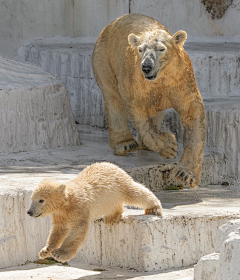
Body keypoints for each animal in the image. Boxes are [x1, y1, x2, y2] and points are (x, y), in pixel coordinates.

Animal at [27, 162, 162, 262]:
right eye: (32, 198)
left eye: (41, 200)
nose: (29, 212)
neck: (68, 202)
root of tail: (111, 164)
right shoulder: (60, 214)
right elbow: (58, 230)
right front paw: (45, 251)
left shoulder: (79, 208)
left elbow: (78, 230)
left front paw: (60, 253)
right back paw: (111, 218)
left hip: (120, 184)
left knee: (136, 193)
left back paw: (154, 208)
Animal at [92, 13, 206, 188]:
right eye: (140, 49)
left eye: (161, 48)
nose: (146, 67)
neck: (160, 77)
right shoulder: (135, 81)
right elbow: (138, 111)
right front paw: (169, 145)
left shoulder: (180, 77)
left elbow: (191, 110)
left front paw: (185, 175)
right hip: (104, 58)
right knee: (113, 97)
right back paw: (126, 144)